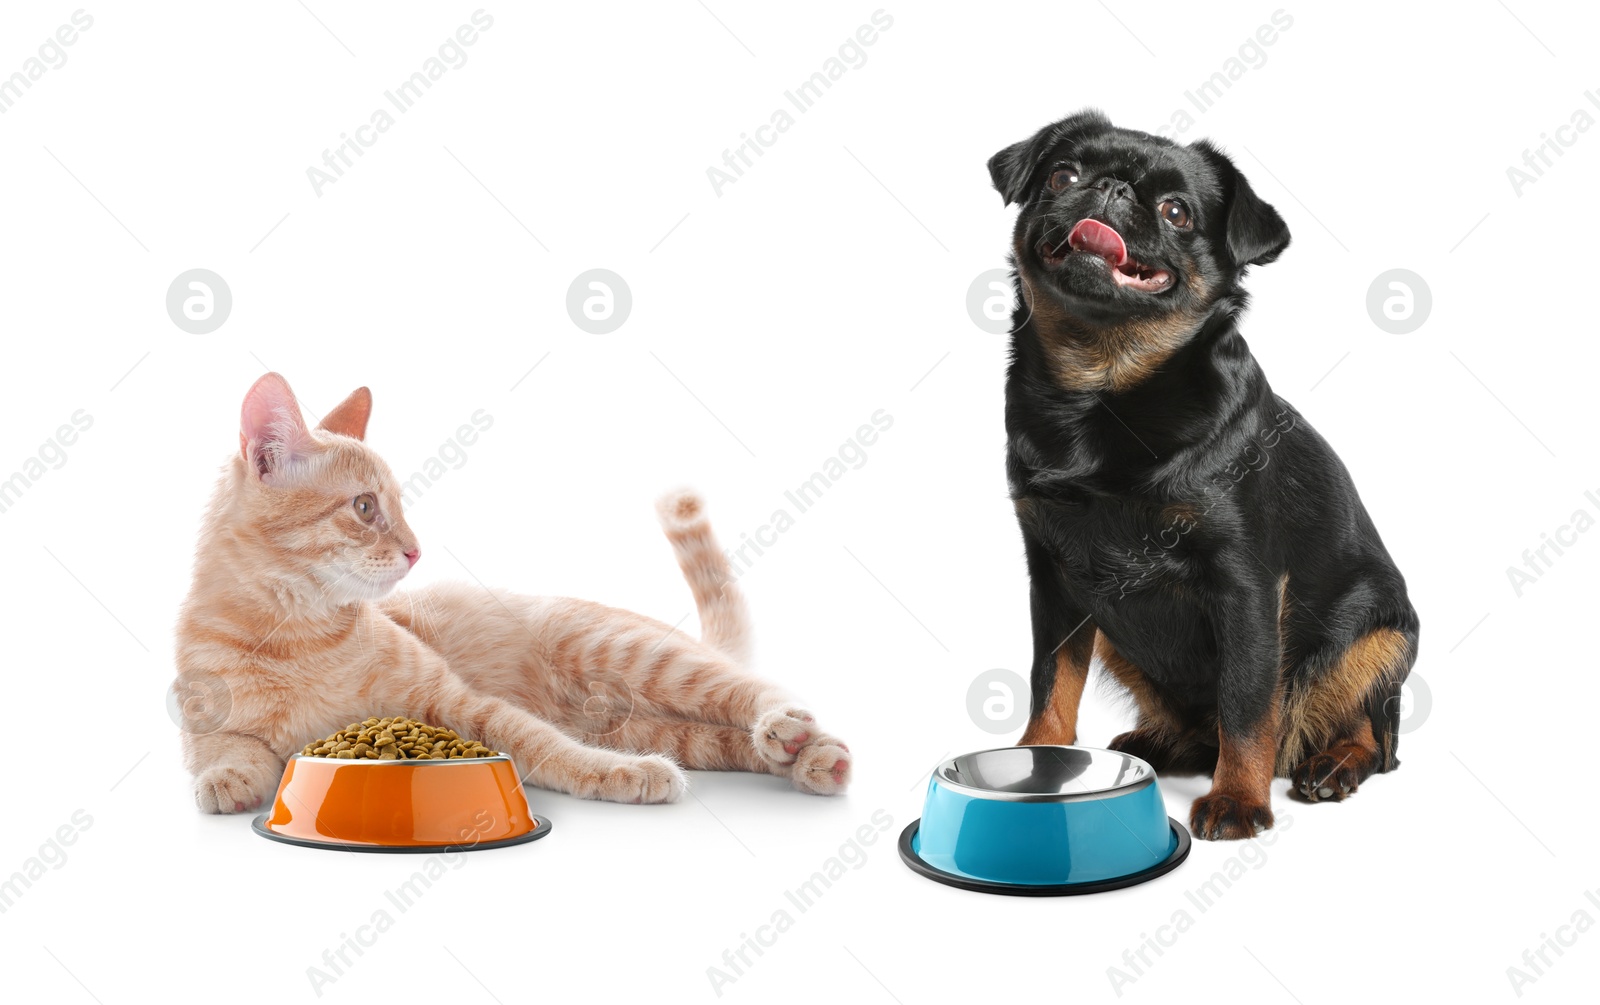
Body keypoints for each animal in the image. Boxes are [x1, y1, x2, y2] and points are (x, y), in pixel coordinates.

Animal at [173, 372, 851, 812]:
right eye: (365, 507)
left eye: (400, 506)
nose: (416, 548)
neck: (297, 637)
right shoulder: (202, 724)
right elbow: (223, 750)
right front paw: (228, 781)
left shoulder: (461, 705)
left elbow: (543, 744)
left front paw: (617, 774)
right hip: (652, 724)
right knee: (717, 739)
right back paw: (808, 757)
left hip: (636, 655)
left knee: (750, 689)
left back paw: (791, 730)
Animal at [992, 112, 1420, 838]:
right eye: (1062, 176)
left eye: (1176, 212)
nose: (1110, 189)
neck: (1104, 389)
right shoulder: (1054, 580)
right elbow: (1050, 681)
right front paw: (1037, 761)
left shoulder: (1244, 586)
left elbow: (1246, 704)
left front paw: (1239, 800)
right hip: (1114, 632)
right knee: (1196, 723)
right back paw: (1163, 742)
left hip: (1378, 635)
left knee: (1367, 733)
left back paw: (1332, 764)